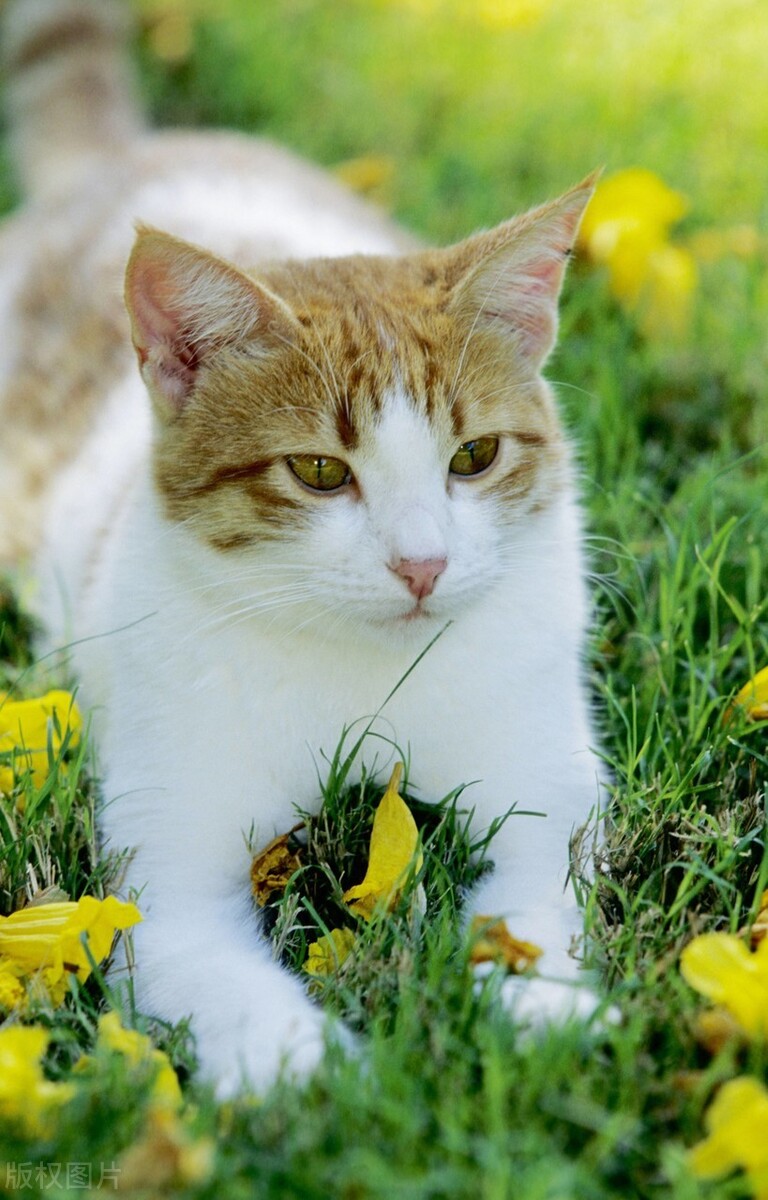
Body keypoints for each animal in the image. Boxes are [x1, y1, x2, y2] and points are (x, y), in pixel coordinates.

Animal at [3, 0, 604, 1094]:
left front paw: (544, 1013)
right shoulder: (165, 872)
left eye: (475, 456)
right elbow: (217, 973)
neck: (363, 674)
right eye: (320, 471)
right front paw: (315, 1078)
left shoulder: (547, 780)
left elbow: (540, 897)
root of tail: (135, 155)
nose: (422, 566)